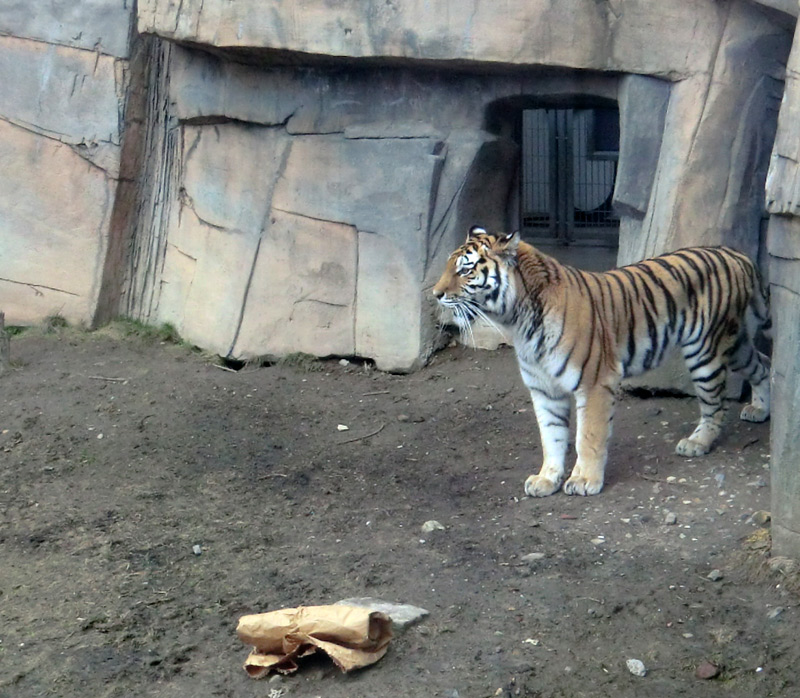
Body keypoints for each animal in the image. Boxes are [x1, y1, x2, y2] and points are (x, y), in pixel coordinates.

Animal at [434, 224, 772, 494]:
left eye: (465, 270)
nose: (436, 294)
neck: (518, 321)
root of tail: (736, 253)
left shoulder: (595, 382)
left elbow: (588, 436)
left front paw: (584, 481)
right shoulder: (544, 389)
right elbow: (551, 437)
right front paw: (547, 479)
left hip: (705, 350)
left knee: (715, 404)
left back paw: (698, 442)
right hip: (735, 343)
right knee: (763, 364)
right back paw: (760, 409)